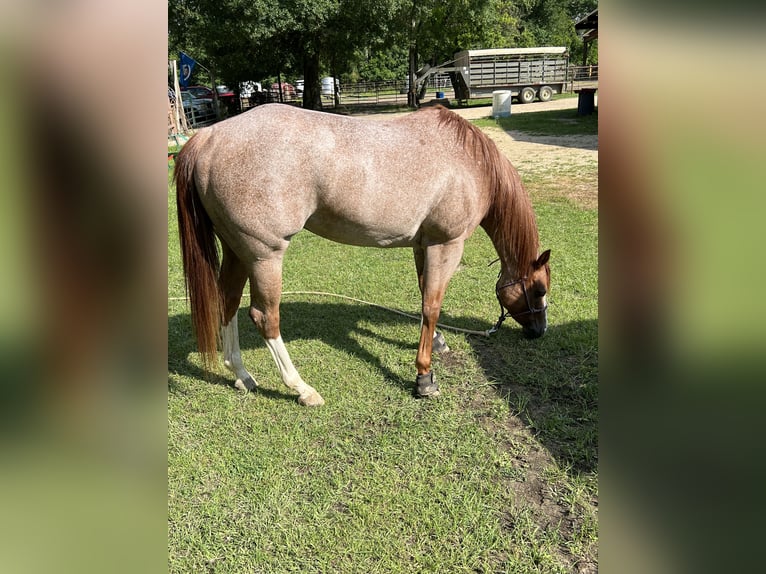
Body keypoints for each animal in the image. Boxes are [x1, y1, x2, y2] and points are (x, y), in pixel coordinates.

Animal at [176, 104, 552, 410]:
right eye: (539, 290)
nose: (540, 331)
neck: (470, 161)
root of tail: (209, 136)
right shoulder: (446, 245)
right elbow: (432, 305)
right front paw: (424, 378)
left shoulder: (423, 245)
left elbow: (424, 298)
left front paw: (437, 343)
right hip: (264, 256)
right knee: (264, 317)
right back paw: (301, 388)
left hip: (237, 251)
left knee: (227, 302)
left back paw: (241, 374)